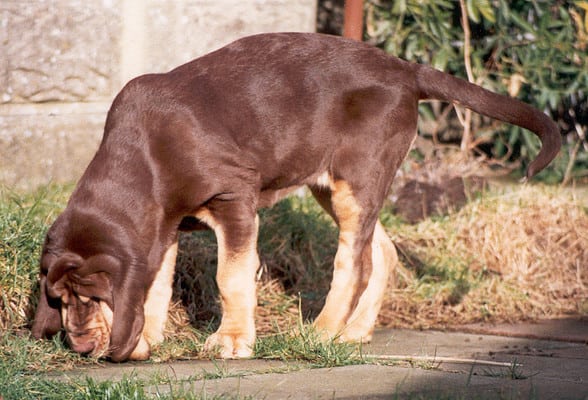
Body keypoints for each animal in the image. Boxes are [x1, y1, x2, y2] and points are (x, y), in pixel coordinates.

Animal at [31, 32, 560, 360]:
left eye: (91, 296)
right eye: (58, 299)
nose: (79, 347)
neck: (144, 161)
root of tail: (405, 70)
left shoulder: (235, 201)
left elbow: (230, 278)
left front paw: (232, 342)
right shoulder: (161, 228)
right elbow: (156, 285)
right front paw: (151, 340)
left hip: (356, 179)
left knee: (354, 261)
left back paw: (324, 331)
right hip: (335, 184)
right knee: (382, 251)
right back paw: (353, 332)